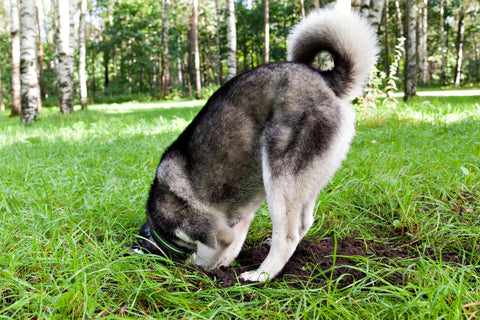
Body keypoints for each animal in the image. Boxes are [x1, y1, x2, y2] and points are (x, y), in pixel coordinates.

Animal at [138, 8, 378, 282]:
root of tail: (324, 78)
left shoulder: (210, 231)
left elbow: (209, 253)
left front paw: (202, 271)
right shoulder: (238, 219)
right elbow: (234, 242)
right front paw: (223, 265)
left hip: (279, 175)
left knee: (287, 235)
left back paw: (261, 275)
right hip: (308, 179)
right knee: (303, 222)